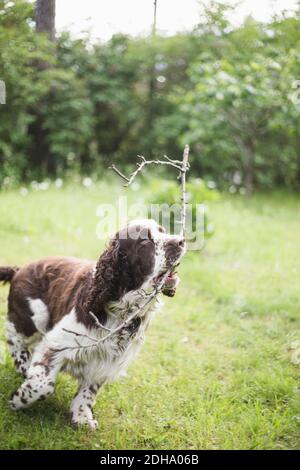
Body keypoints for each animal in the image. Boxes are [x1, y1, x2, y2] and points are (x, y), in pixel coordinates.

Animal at [0, 218, 185, 428]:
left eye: (163, 230)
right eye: (145, 241)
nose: (181, 241)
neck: (122, 306)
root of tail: (19, 269)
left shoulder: (105, 359)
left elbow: (88, 391)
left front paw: (81, 416)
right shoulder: (56, 343)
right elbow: (43, 385)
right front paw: (18, 399)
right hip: (35, 315)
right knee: (14, 337)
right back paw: (24, 364)